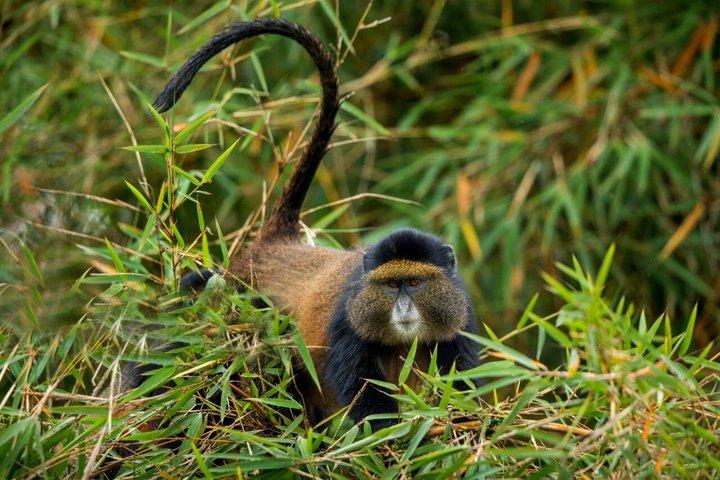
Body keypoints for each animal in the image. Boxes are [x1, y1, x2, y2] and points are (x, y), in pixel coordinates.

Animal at [148, 18, 481, 428]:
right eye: (391, 285)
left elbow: (460, 378)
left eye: (415, 283)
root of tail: (277, 242)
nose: (403, 307)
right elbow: (361, 386)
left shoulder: (459, 317)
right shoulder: (346, 320)